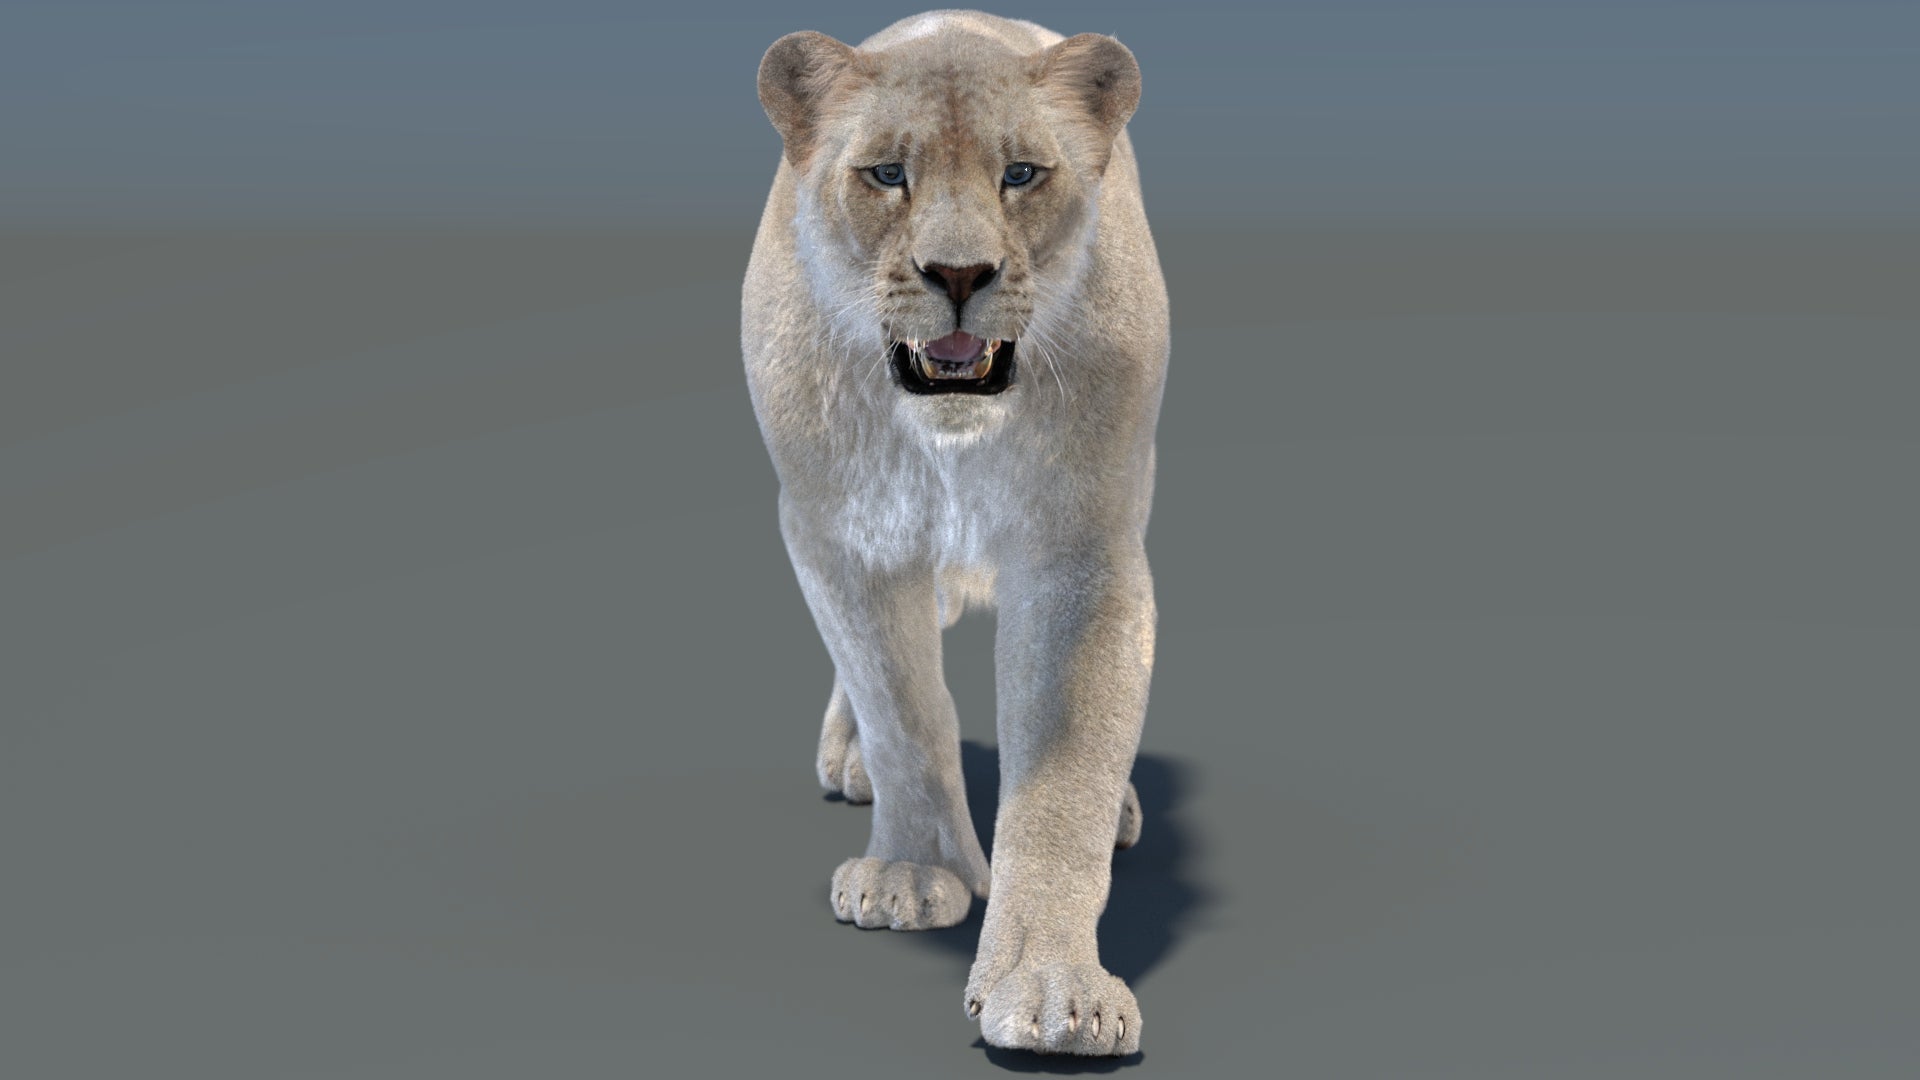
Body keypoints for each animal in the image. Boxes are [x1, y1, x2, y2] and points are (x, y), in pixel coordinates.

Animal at [741, 10, 1168, 1056]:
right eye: (888, 174)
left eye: (1021, 173)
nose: (961, 274)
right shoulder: (837, 530)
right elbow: (901, 706)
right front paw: (914, 873)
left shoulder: (1082, 548)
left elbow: (1062, 780)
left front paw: (1055, 991)